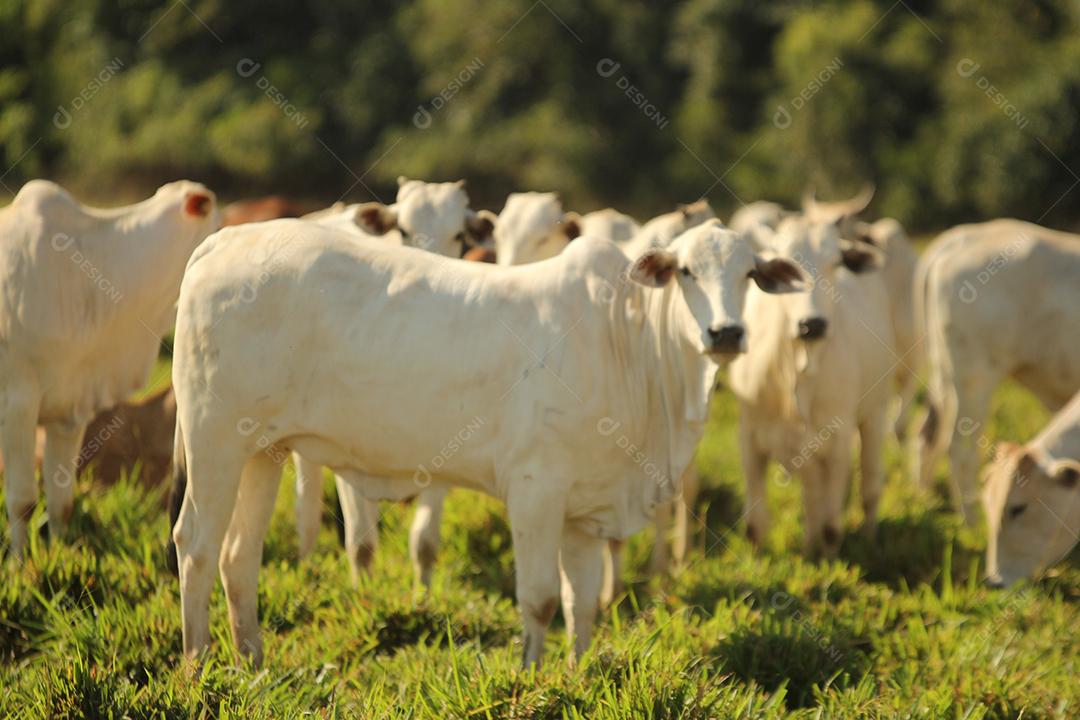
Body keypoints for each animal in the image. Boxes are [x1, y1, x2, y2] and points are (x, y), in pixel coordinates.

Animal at [0, 180, 219, 557]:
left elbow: (61, 501)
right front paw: (18, 562)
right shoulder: (18, 403)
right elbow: (22, 500)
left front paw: (60, 554)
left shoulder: (70, 413)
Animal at [168, 218, 807, 664]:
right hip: (213, 438)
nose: (726, 333)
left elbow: (580, 604)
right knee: (195, 546)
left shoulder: (585, 509)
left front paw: (576, 674)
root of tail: (222, 242)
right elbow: (540, 598)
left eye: (750, 274)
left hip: (263, 449)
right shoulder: (535, 488)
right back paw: (198, 667)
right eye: (687, 272)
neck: (630, 344)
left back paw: (253, 665)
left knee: (238, 556)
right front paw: (532, 675)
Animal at [725, 216, 894, 557]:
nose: (812, 324)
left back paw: (869, 541)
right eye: (788, 266)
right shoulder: (750, 436)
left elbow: (832, 526)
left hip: (875, 413)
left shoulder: (838, 438)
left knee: (869, 486)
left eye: (836, 262)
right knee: (813, 498)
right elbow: (755, 525)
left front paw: (829, 562)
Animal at [915, 220, 1080, 524]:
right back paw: (972, 523)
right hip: (975, 379)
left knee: (928, 433)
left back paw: (924, 500)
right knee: (960, 451)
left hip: (943, 374)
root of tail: (961, 237)